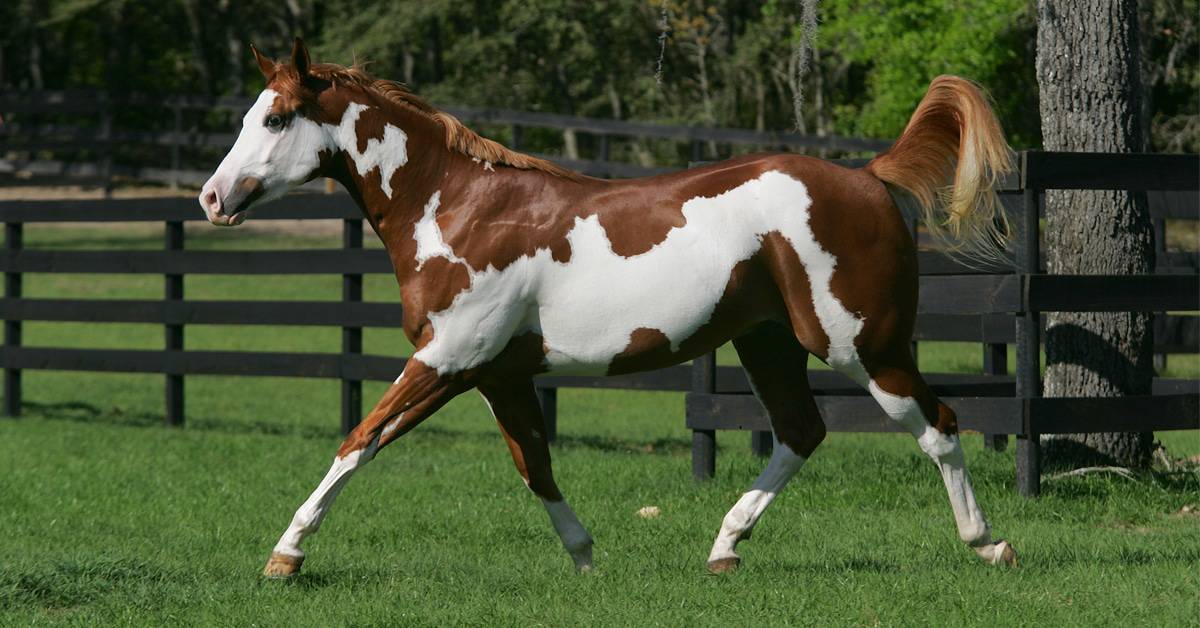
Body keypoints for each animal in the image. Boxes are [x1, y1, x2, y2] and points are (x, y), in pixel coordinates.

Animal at [199, 38, 1017, 577]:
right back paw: (724, 548)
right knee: (800, 431)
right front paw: (587, 557)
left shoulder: (448, 360)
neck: (457, 208)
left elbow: (360, 440)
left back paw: (990, 543)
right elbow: (535, 465)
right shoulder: (499, 373)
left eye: (275, 120)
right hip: (769, 342)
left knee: (939, 426)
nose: (211, 199)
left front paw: (286, 553)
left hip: (863, 346)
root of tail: (870, 176)